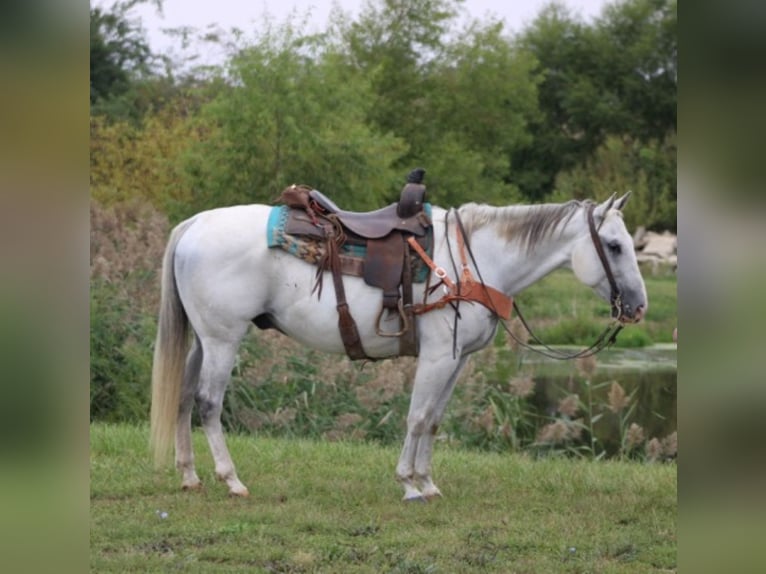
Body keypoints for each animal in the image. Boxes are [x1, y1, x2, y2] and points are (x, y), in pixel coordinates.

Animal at [150, 191, 647, 501]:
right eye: (614, 245)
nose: (638, 306)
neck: (475, 262)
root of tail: (196, 223)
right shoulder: (437, 357)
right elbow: (418, 416)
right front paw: (409, 484)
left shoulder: (456, 360)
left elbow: (433, 420)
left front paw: (426, 482)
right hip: (223, 338)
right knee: (209, 402)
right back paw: (231, 480)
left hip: (202, 339)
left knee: (183, 397)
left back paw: (190, 476)